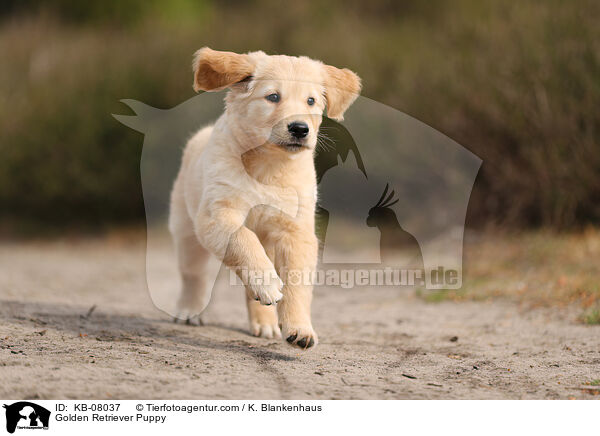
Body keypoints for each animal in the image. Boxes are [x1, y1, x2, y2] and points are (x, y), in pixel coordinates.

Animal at [168, 47, 360, 350]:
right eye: (273, 97)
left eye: (311, 101)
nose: (300, 129)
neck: (268, 166)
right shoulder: (216, 214)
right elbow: (243, 238)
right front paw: (267, 283)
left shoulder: (295, 231)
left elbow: (296, 284)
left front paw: (300, 329)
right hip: (186, 230)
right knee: (193, 275)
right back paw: (190, 311)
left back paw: (265, 322)